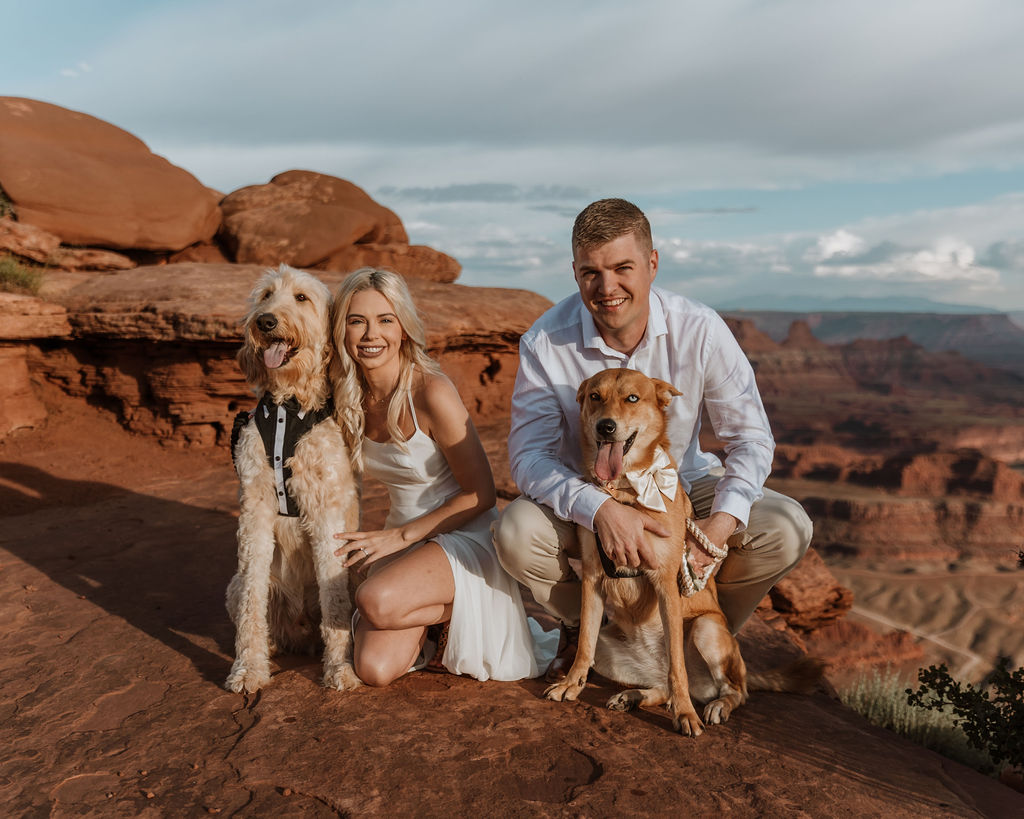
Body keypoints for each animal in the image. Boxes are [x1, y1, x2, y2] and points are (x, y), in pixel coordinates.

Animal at [226, 266, 362, 696]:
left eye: (301, 298)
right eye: (266, 295)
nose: (266, 322)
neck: (288, 405)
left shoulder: (325, 508)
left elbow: (335, 600)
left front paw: (340, 670)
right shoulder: (254, 505)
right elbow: (252, 595)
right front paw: (248, 669)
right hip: (233, 586)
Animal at [544, 368, 823, 733]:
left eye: (632, 398)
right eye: (595, 396)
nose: (605, 426)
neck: (625, 491)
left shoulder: (666, 582)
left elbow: (677, 664)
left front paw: (686, 715)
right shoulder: (592, 579)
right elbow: (584, 646)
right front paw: (571, 685)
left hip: (707, 630)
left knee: (732, 690)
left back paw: (714, 706)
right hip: (610, 649)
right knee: (661, 684)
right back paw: (633, 696)